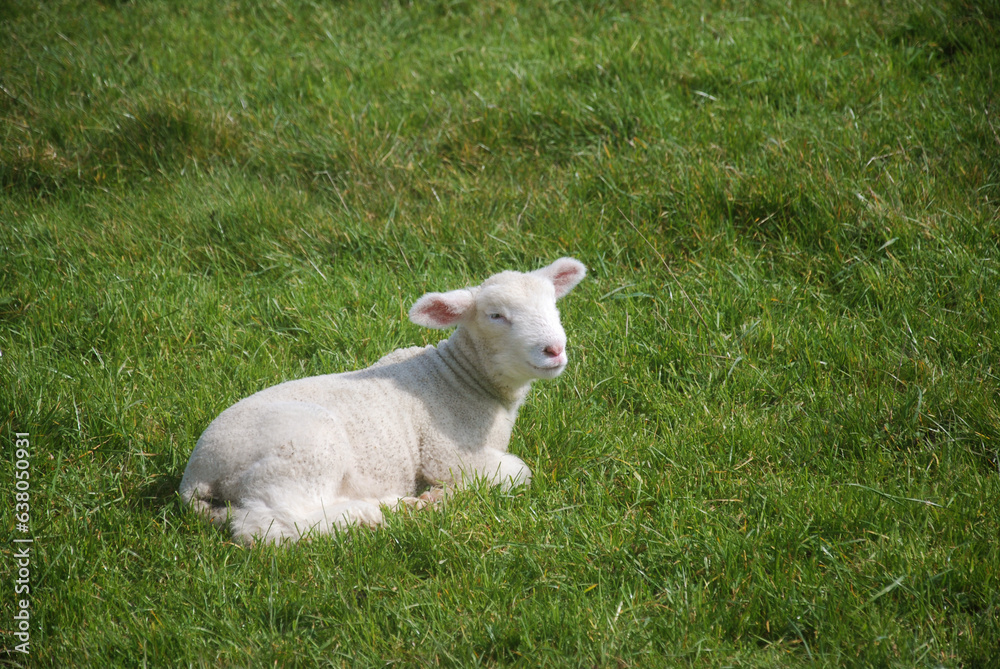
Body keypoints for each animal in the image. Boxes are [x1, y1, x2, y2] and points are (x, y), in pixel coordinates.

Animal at [179, 257, 586, 544]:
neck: (460, 378)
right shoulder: (446, 454)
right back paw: (369, 516)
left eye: (553, 306)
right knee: (268, 525)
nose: (554, 349)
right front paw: (449, 493)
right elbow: (518, 473)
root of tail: (194, 476)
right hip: (301, 451)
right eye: (496, 315)